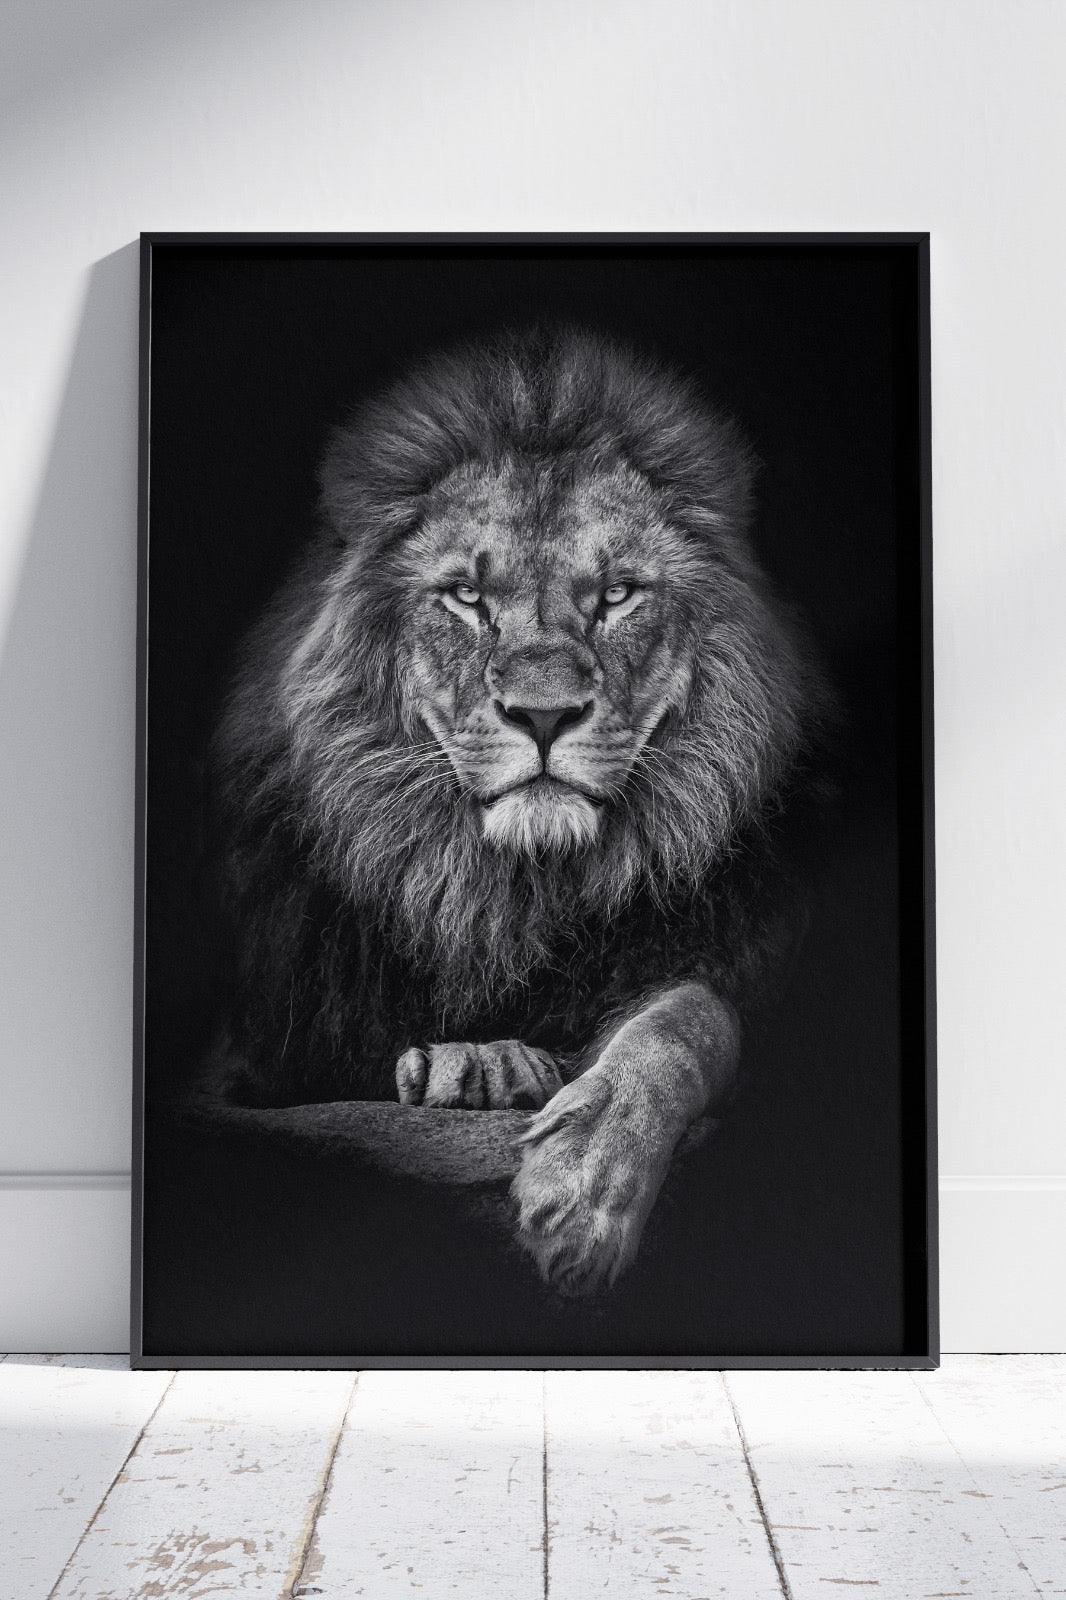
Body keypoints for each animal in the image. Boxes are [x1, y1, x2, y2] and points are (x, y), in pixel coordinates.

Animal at [212, 327, 825, 1296]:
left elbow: (690, 1018)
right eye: (468, 597)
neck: (511, 895)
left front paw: (585, 1187)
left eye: (616, 595)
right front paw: (478, 1062)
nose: (542, 715)